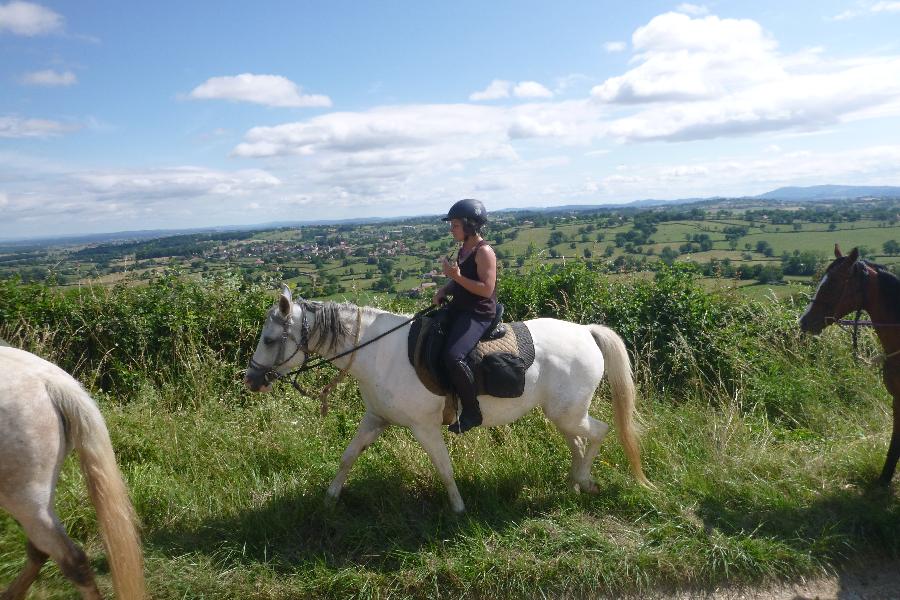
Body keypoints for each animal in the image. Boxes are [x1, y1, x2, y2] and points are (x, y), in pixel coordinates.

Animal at [243, 288, 652, 512]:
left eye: (269, 339)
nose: (250, 379)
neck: (378, 352)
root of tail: (586, 331)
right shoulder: (375, 418)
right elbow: (348, 456)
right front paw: (330, 499)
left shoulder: (424, 427)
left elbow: (443, 468)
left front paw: (457, 508)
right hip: (563, 412)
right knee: (580, 441)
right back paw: (575, 484)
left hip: (568, 412)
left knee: (599, 432)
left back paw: (583, 481)